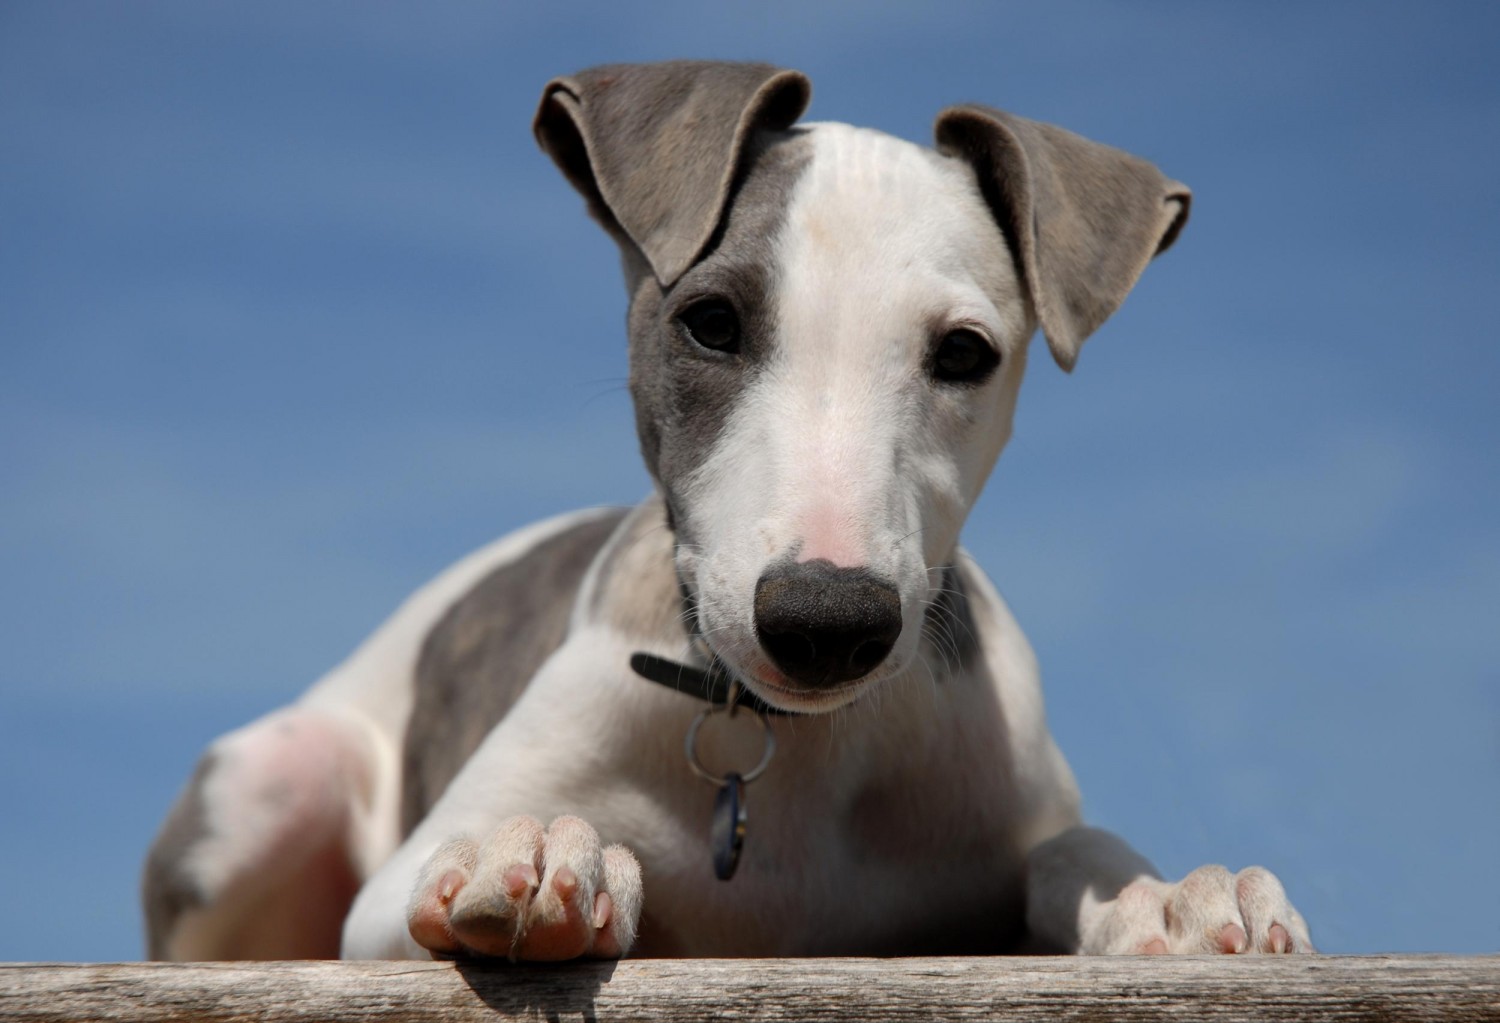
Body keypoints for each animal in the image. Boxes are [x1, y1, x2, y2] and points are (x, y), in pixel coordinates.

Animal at [143, 61, 1314, 954]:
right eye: (709, 321)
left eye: (966, 353)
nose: (826, 621)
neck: (797, 750)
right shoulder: (385, 906)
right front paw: (538, 851)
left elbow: (1072, 847)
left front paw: (1165, 895)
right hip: (277, 780)